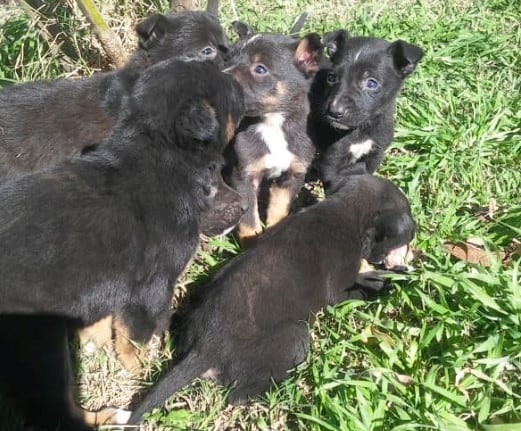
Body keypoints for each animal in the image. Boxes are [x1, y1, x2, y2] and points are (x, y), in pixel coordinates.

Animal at [0, 60, 244, 431]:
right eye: (228, 88)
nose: (244, 208)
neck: (154, 153)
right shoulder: (152, 288)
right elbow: (135, 337)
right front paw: (140, 372)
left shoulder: (107, 282)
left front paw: (94, 342)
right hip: (40, 345)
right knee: (57, 410)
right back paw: (108, 415)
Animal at [128, 174, 416, 424]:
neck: (346, 211)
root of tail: (205, 347)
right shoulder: (339, 290)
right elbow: (362, 290)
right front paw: (393, 282)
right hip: (295, 338)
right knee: (238, 396)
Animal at [308, 31, 422, 197]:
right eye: (331, 77)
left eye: (371, 83)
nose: (334, 111)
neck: (361, 130)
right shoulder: (332, 160)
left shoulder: (375, 154)